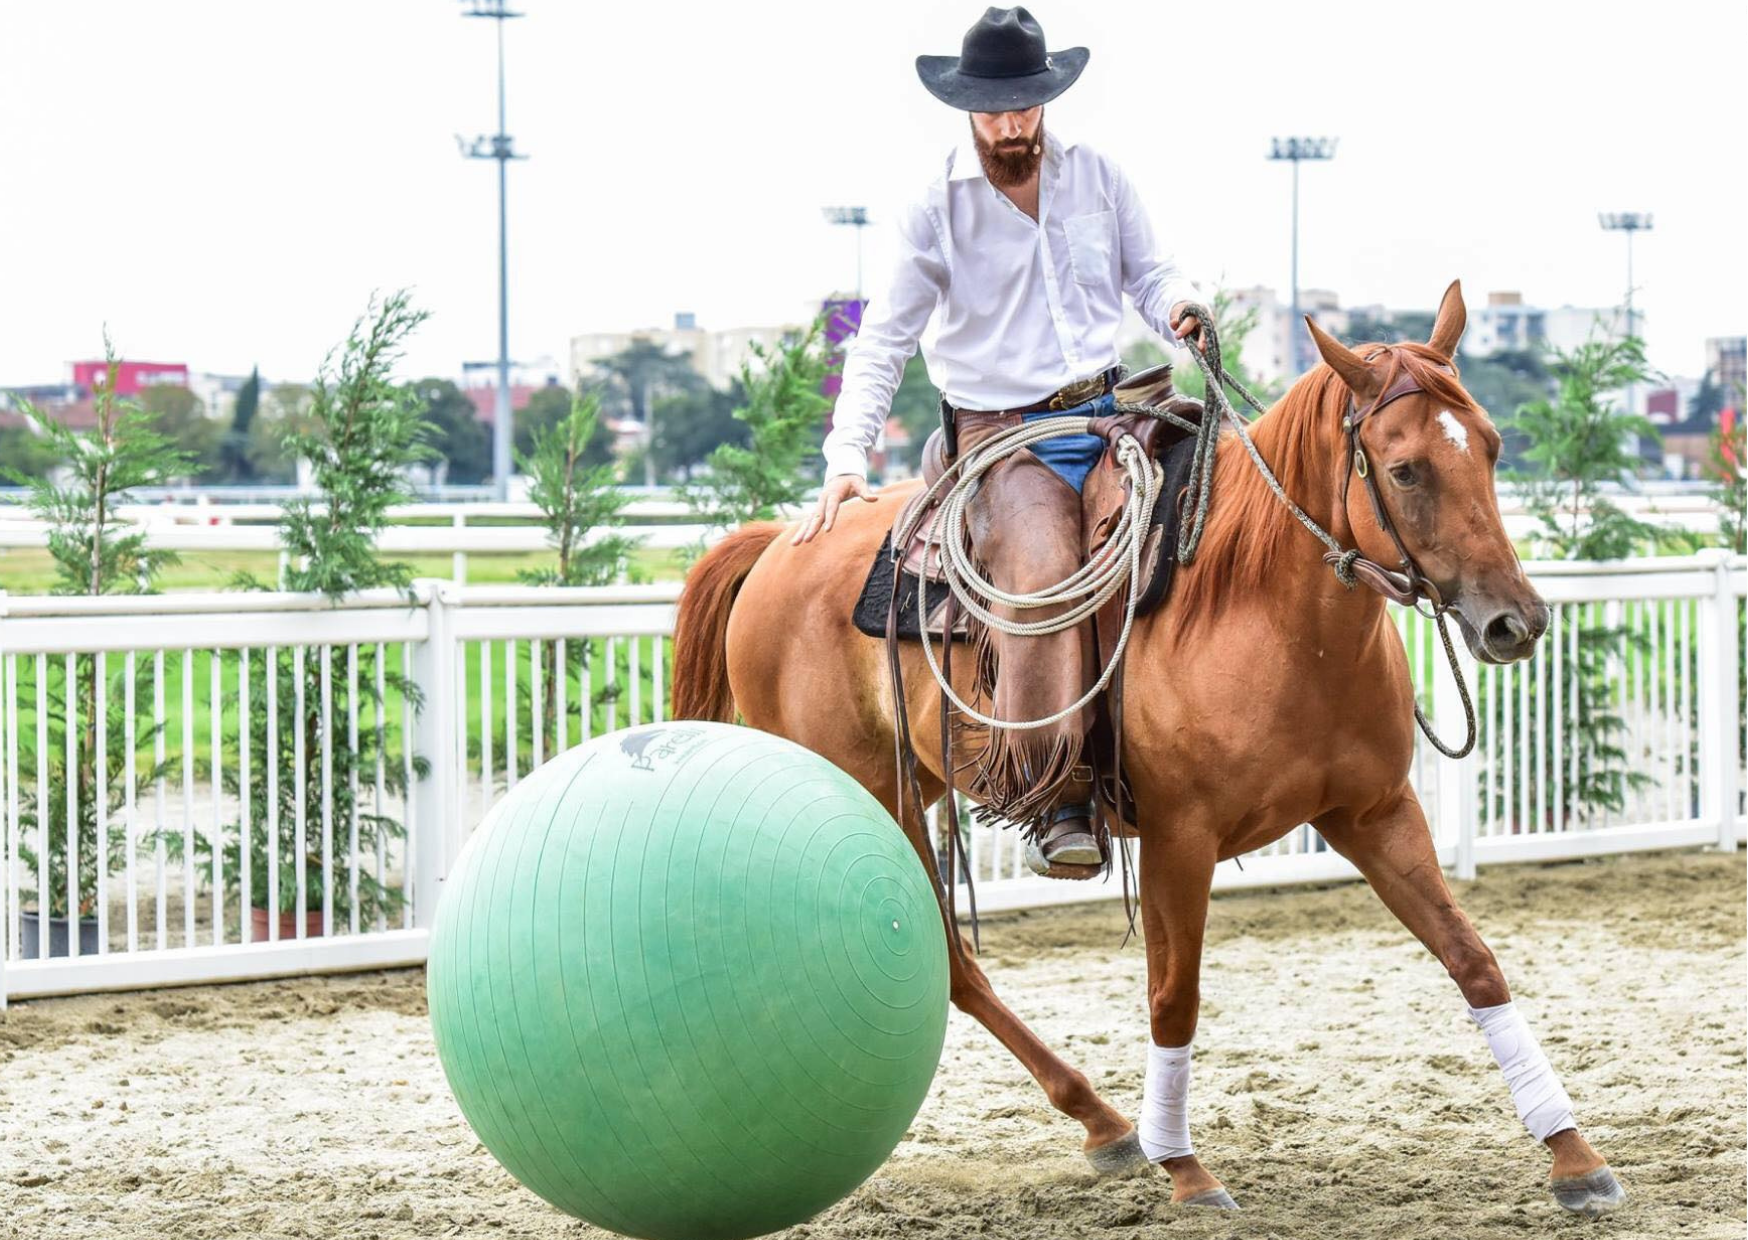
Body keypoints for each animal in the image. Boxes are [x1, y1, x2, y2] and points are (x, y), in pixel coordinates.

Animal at [667, 283, 1622, 1217]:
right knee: (951, 961)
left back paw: (1102, 1122)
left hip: (921, 790)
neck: (1263, 608)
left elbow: (1474, 962)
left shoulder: (1374, 812)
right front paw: (1187, 1171)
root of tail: (782, 544)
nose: (1516, 622)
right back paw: (1105, 1119)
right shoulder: (1178, 838)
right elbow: (1174, 996)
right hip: (876, 799)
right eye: (1405, 468)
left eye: (1491, 448)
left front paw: (1573, 1155)